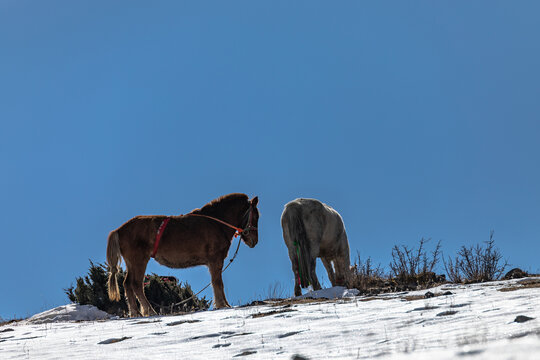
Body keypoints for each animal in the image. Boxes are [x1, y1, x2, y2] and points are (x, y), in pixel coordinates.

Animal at [106, 194, 258, 316]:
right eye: (255, 216)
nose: (254, 241)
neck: (216, 223)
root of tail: (119, 230)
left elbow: (217, 283)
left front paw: (224, 304)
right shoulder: (215, 261)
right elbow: (218, 283)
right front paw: (222, 305)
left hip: (132, 263)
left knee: (127, 284)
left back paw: (135, 312)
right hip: (139, 261)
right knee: (136, 284)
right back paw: (150, 311)